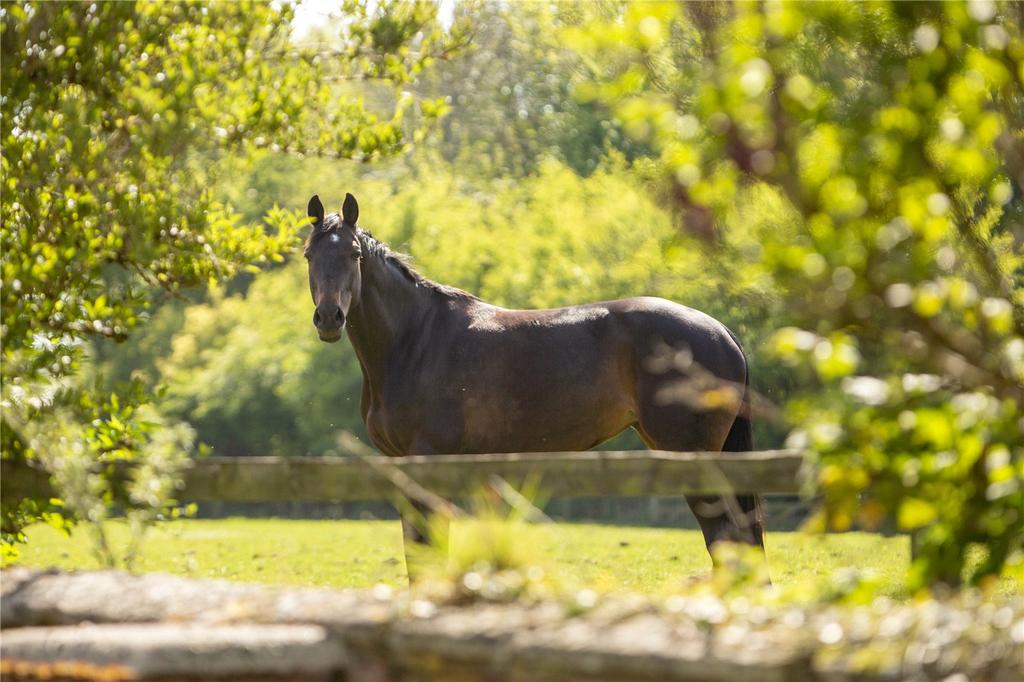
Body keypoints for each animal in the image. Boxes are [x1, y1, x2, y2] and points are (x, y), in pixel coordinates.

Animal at [302, 193, 765, 575]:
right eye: (309, 255)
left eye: (353, 254)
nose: (329, 319)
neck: (416, 338)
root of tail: (721, 332)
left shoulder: (430, 462)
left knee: (726, 537)